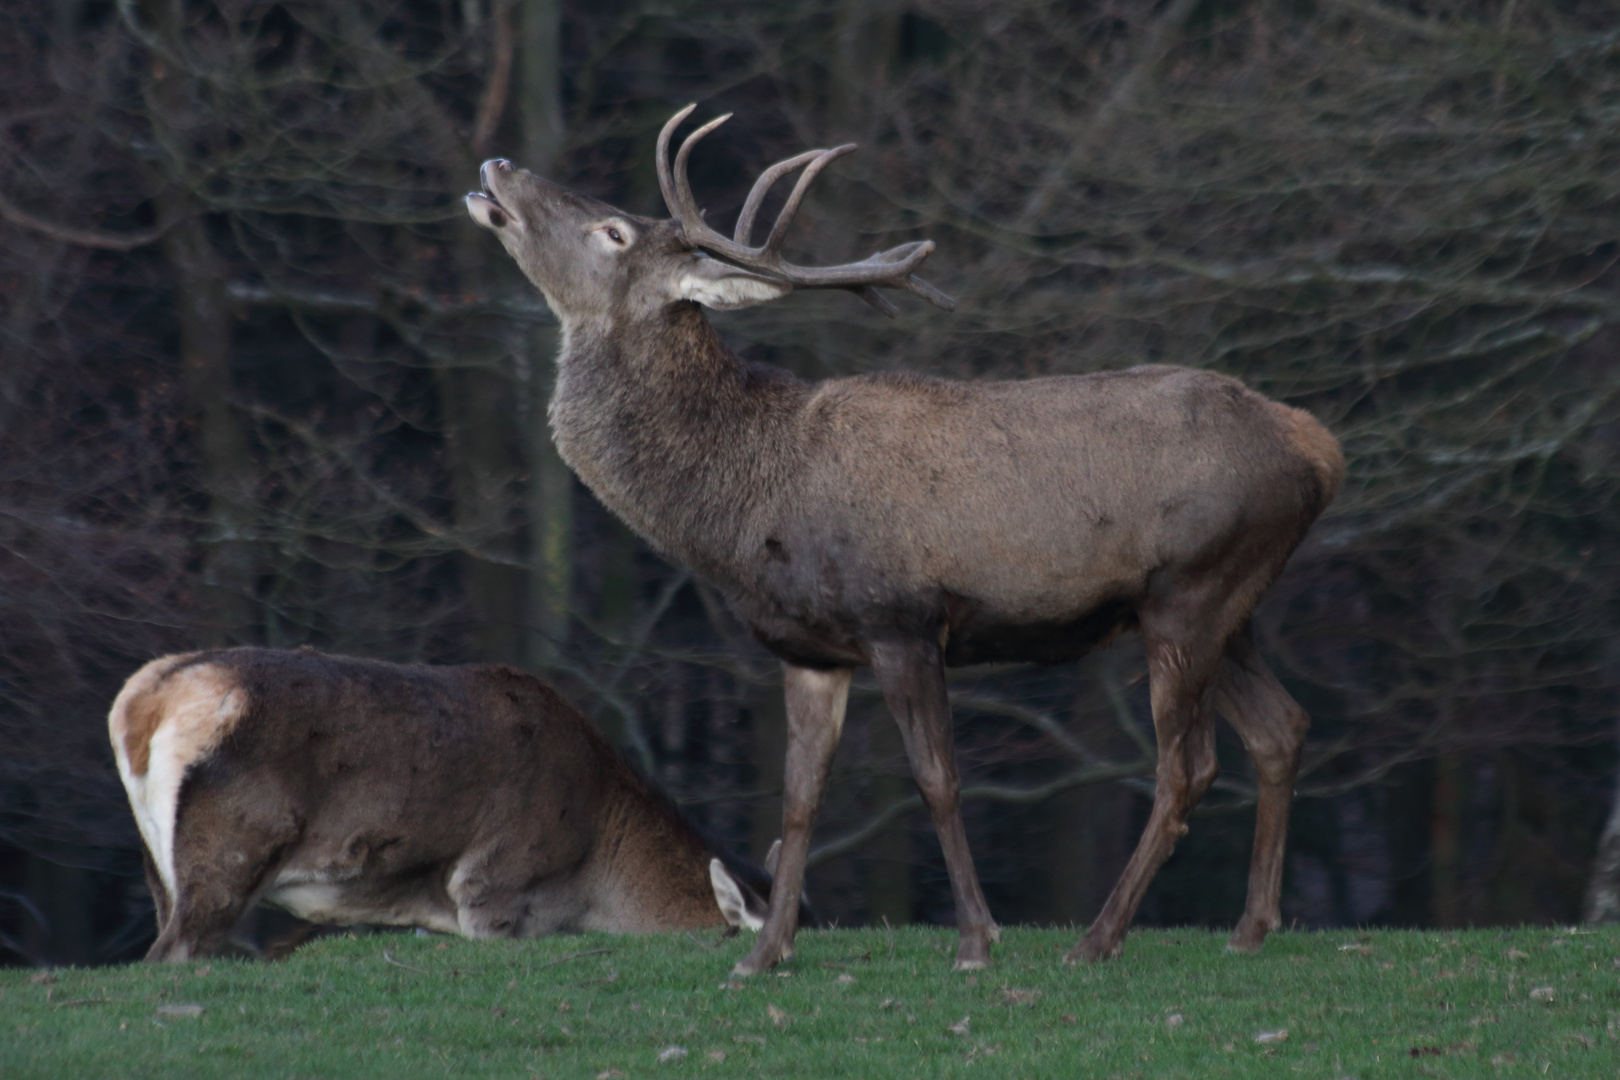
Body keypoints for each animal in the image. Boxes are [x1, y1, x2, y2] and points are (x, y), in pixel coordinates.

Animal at [466, 105, 1341, 977]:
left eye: (614, 231)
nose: (499, 166)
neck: (747, 500)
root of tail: (1321, 448)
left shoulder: (902, 621)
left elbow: (937, 780)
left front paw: (976, 942)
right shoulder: (809, 651)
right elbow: (798, 799)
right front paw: (765, 955)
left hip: (1192, 591)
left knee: (1187, 765)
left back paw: (1098, 938)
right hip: (1225, 607)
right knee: (1280, 727)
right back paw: (1249, 927)